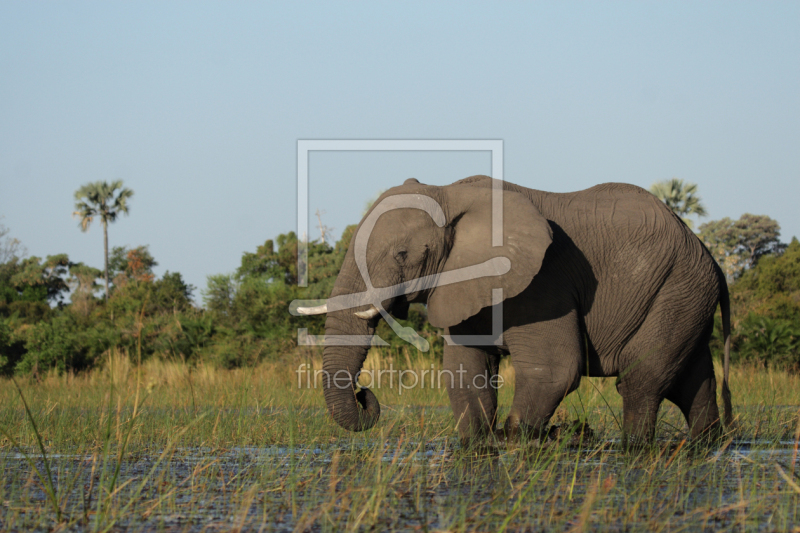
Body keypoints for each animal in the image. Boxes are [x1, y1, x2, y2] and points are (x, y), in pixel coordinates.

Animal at [296, 176, 732, 444]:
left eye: (402, 254)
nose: (364, 394)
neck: (450, 193)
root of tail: (709, 253)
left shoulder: (545, 281)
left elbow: (554, 369)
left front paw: (516, 443)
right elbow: (466, 373)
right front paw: (478, 446)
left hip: (678, 286)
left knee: (641, 379)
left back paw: (635, 448)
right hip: (684, 293)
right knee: (692, 381)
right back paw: (705, 445)